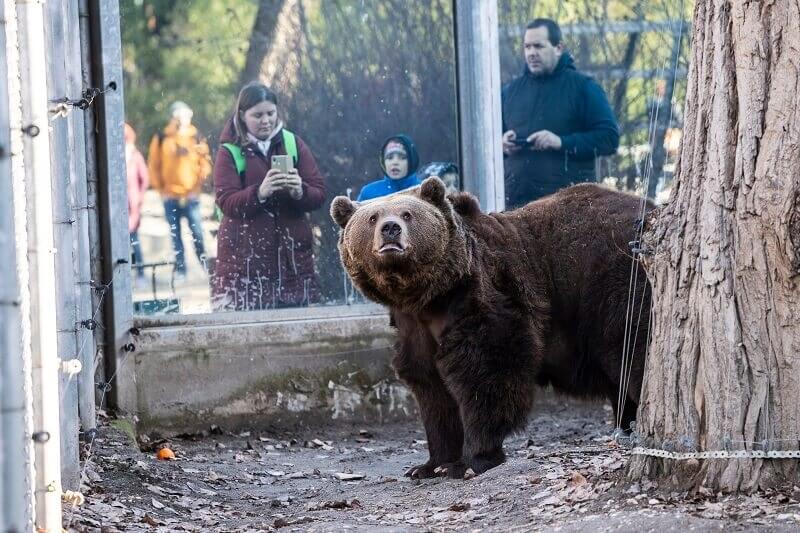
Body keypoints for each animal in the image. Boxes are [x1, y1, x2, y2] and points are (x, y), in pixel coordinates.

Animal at [332, 178, 648, 478]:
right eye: (372, 217)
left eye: (407, 214)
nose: (390, 229)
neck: (428, 297)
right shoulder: (414, 329)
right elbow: (433, 392)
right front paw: (429, 465)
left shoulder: (482, 298)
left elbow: (486, 374)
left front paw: (469, 461)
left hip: (611, 283)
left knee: (633, 352)